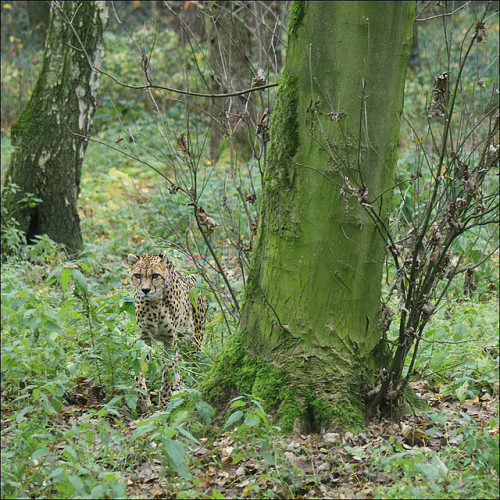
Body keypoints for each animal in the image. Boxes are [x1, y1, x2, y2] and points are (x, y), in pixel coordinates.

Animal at [129, 250, 207, 414]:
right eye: (137, 275)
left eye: (155, 275)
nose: (145, 290)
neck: (154, 303)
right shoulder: (144, 337)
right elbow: (140, 370)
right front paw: (143, 400)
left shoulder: (170, 338)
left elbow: (167, 373)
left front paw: (164, 403)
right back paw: (179, 386)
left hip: (193, 342)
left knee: (193, 363)